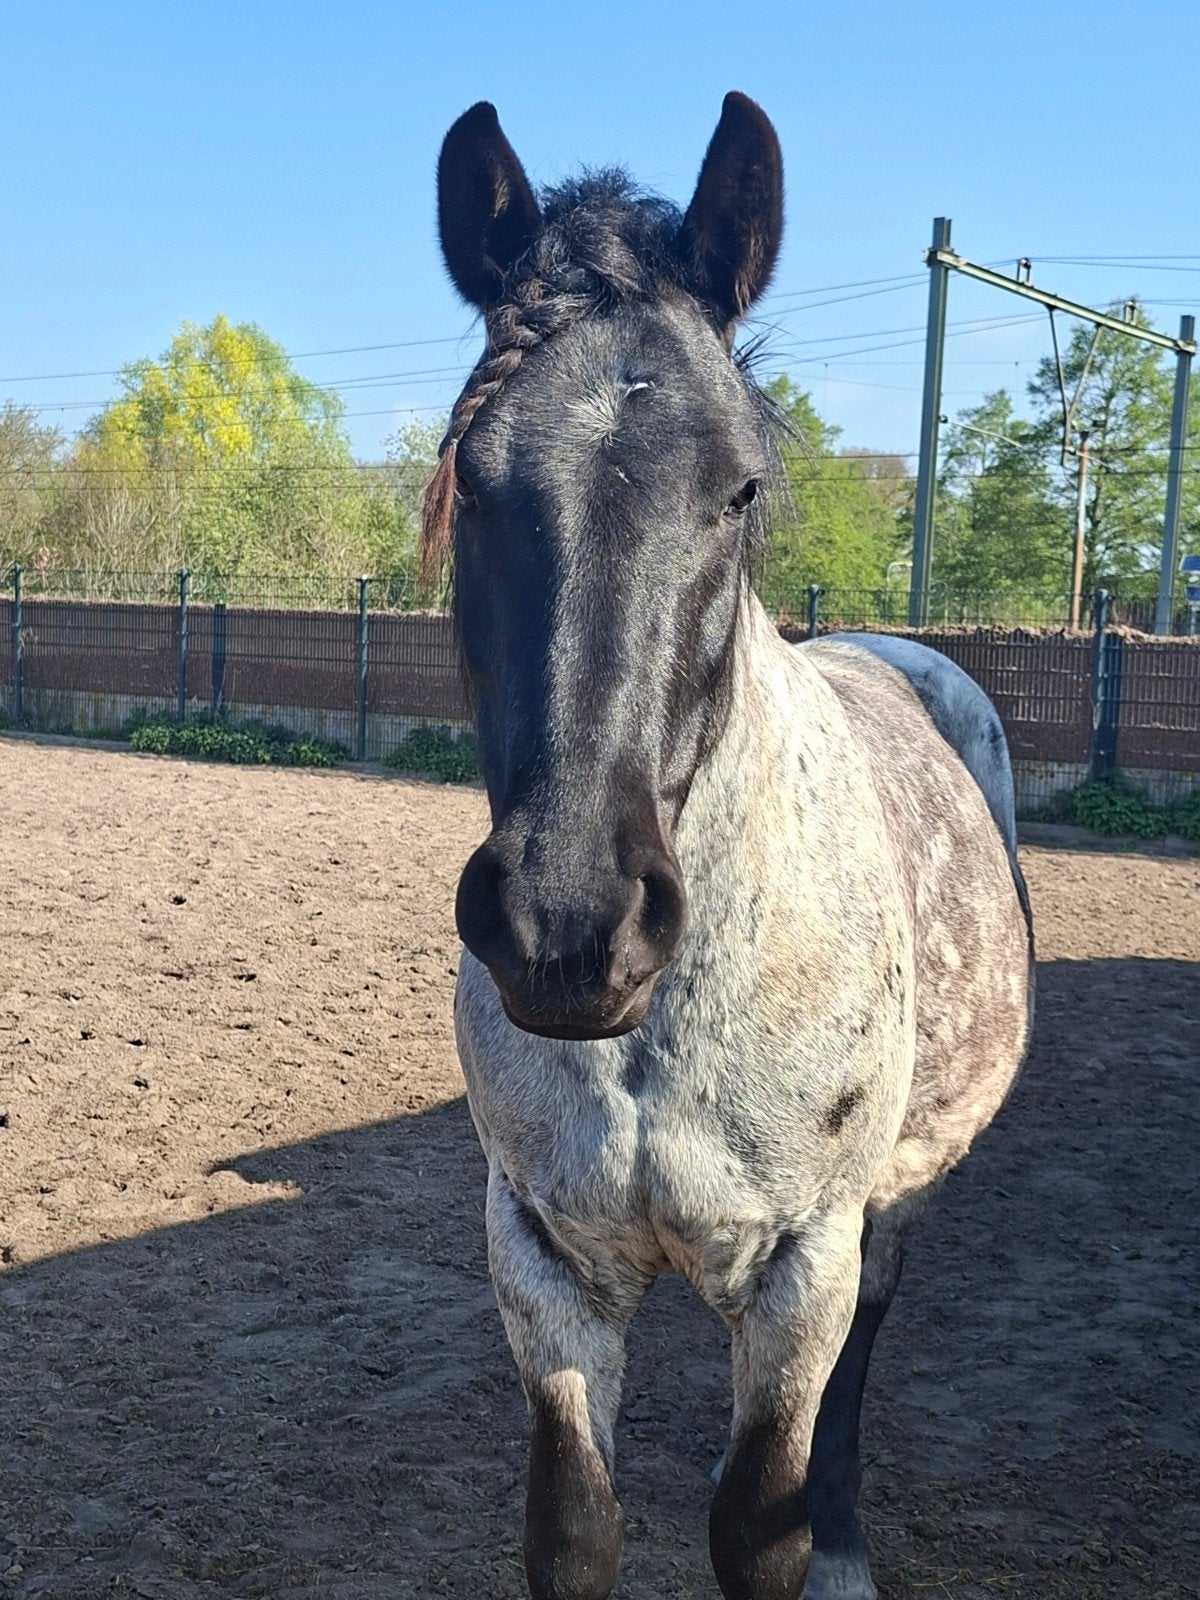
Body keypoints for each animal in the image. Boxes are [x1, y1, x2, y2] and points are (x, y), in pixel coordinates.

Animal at [427, 93, 1034, 1600]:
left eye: (743, 487)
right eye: (475, 474)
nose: (568, 923)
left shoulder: (803, 1261)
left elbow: (762, 1523)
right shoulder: (542, 1261)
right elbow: (575, 1526)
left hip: (892, 1209)